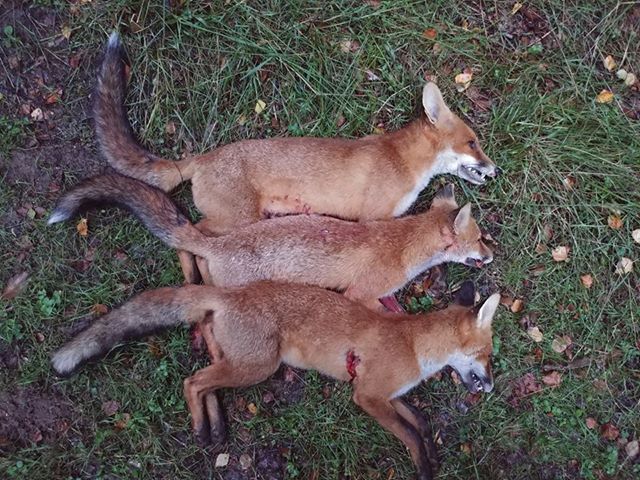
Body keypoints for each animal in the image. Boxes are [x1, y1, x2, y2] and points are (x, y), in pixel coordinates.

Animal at [51, 280, 500, 480]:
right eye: (488, 356)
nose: (492, 386)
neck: (412, 344)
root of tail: (231, 293)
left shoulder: (386, 395)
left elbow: (418, 421)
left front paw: (432, 450)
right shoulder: (368, 396)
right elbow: (407, 434)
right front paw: (423, 465)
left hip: (237, 361)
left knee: (206, 382)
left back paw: (216, 427)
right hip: (258, 367)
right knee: (192, 381)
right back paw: (201, 429)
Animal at [95, 32, 499, 281]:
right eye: (473, 143)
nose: (495, 169)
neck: (400, 160)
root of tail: (206, 157)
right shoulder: (373, 217)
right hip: (237, 220)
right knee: (191, 234)